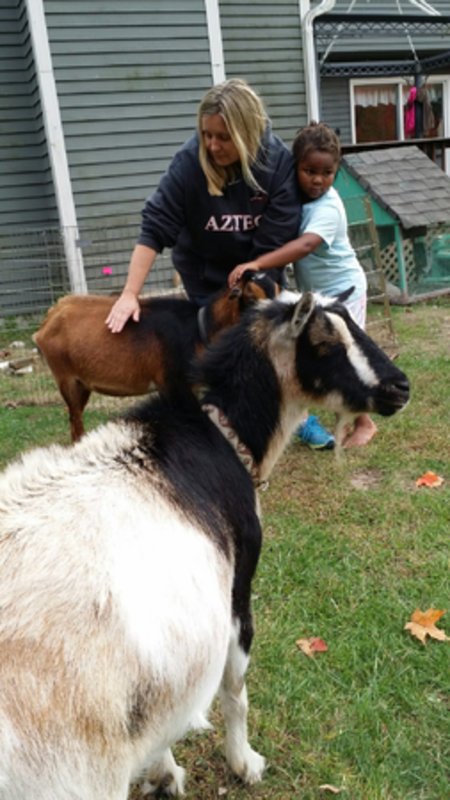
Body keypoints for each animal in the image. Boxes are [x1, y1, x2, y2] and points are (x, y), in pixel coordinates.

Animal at [0, 291, 409, 799]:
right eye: (324, 343)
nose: (399, 387)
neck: (221, 434)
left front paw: (164, 773)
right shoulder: (238, 588)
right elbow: (236, 690)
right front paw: (244, 763)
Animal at [32, 271, 279, 442]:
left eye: (277, 291)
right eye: (250, 296)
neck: (200, 330)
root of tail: (51, 317)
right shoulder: (173, 384)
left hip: (83, 383)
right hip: (67, 380)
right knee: (75, 421)